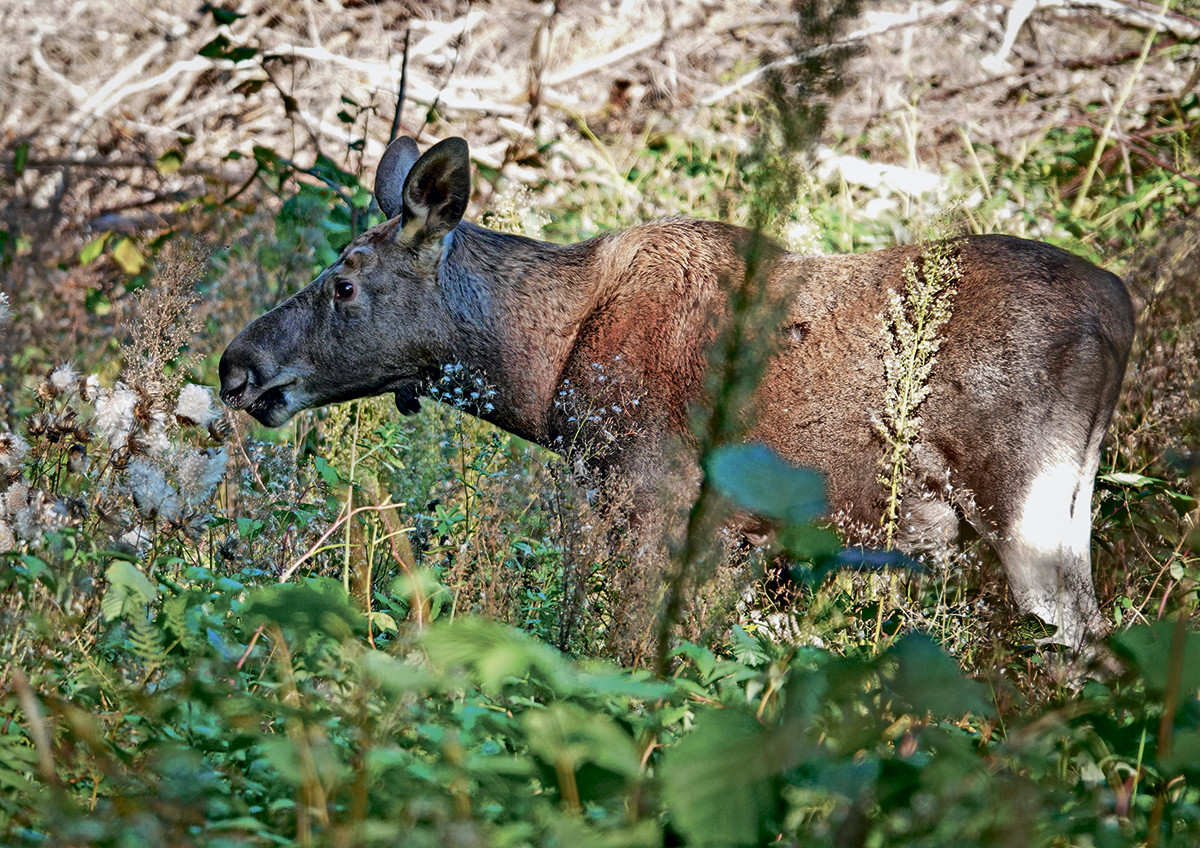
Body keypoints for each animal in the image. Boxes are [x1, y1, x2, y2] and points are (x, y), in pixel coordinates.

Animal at [219, 135, 1134, 648]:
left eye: (345, 283)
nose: (236, 366)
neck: (540, 369)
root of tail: (1123, 310)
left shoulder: (655, 497)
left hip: (1023, 502)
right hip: (1069, 504)